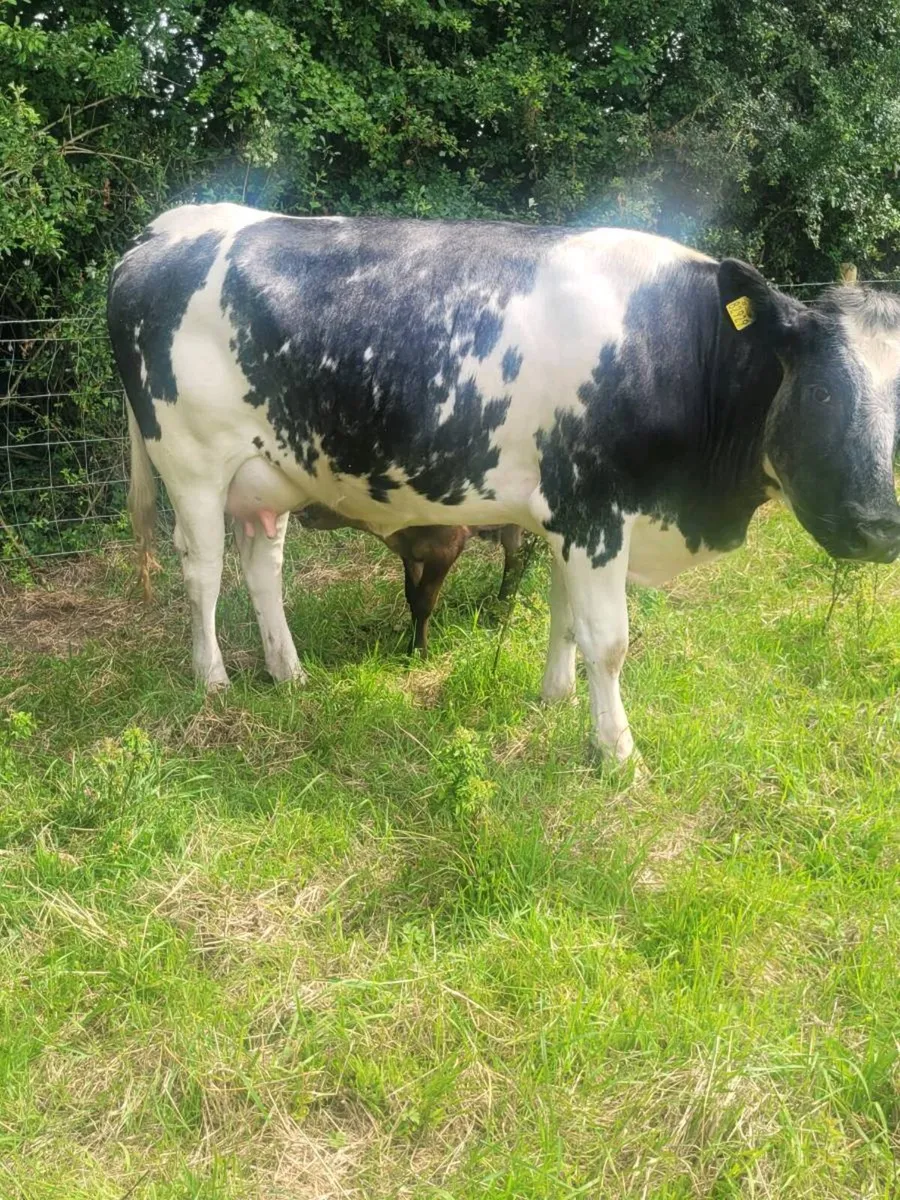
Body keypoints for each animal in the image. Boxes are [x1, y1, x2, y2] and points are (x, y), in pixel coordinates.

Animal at [293, 506, 526, 655]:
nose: (298, 510)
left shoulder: (447, 546)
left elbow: (424, 602)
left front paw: (418, 652)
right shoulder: (410, 551)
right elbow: (412, 596)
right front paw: (412, 637)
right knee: (515, 558)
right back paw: (500, 606)